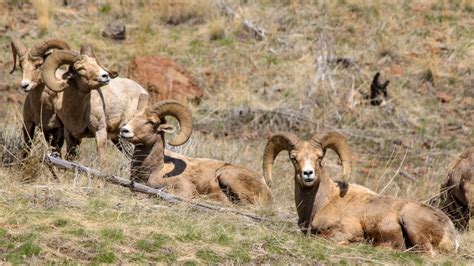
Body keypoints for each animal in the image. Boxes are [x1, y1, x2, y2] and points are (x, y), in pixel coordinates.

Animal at [118, 101, 272, 205]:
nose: (124, 130)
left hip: (227, 175)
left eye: (151, 122)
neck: (155, 169)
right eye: (133, 117)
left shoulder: (183, 189)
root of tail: (266, 187)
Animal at [262, 132, 460, 255]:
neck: (322, 203)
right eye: (293, 158)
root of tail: (451, 233)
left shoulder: (344, 230)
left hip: (410, 219)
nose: (308, 174)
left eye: (319, 157)